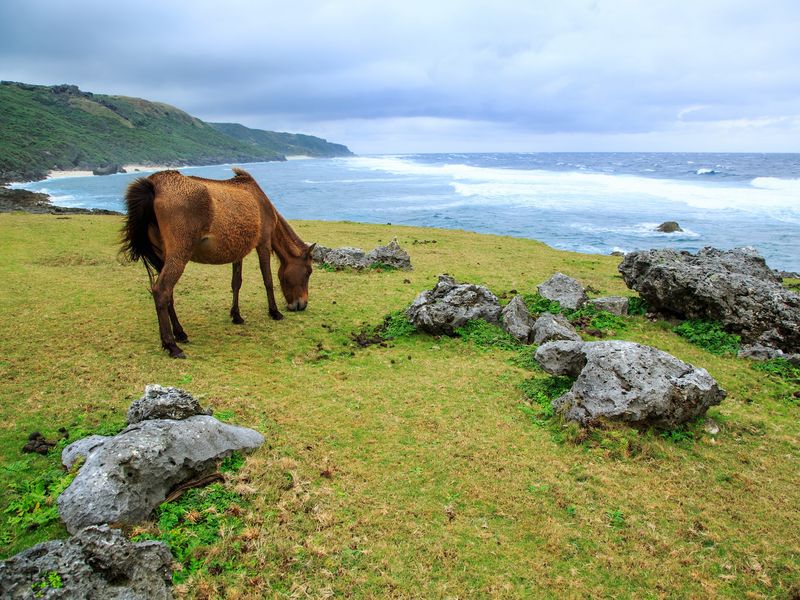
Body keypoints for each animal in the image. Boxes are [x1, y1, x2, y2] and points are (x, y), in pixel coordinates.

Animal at [120, 167, 315, 358]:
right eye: (308, 272)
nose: (302, 304)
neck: (261, 202)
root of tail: (154, 185)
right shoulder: (263, 244)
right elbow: (268, 280)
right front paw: (274, 312)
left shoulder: (238, 252)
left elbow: (236, 283)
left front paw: (236, 316)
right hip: (178, 255)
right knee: (162, 290)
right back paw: (172, 346)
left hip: (163, 255)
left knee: (169, 294)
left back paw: (180, 333)